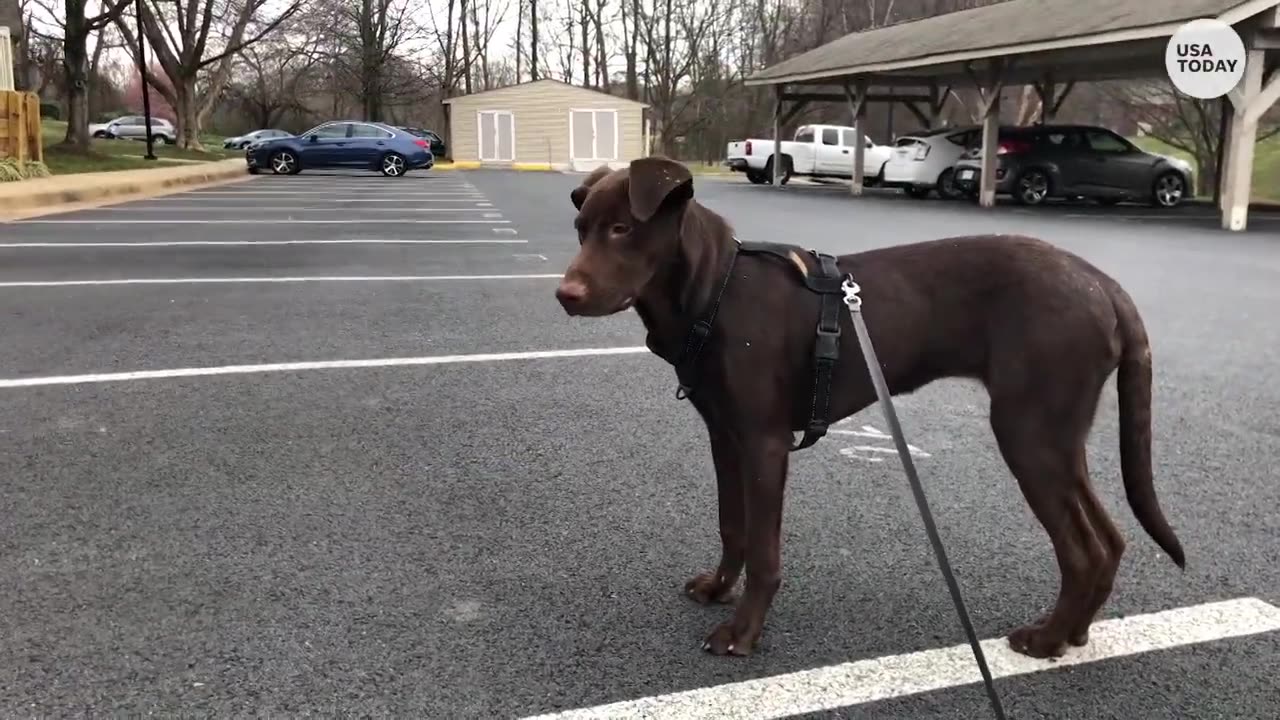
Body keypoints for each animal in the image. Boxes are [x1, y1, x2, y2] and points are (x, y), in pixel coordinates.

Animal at [555, 155, 1182, 655]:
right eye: (581, 229)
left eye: (621, 228)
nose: (565, 295)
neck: (717, 290)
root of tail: (1102, 283)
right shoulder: (724, 436)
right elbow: (732, 526)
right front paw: (716, 589)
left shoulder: (763, 443)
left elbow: (764, 550)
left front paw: (743, 633)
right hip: (1056, 437)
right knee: (1110, 540)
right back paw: (1074, 632)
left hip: (1029, 432)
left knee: (1082, 549)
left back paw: (1047, 639)